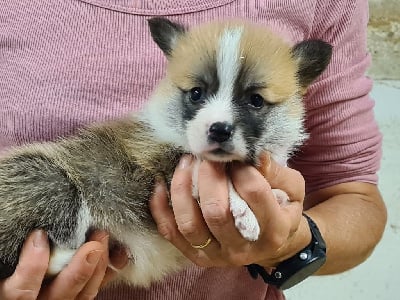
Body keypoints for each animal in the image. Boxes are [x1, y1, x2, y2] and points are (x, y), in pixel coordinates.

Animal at [0, 18, 332, 286]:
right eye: (196, 94)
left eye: (256, 100)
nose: (219, 129)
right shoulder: (157, 163)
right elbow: (203, 170)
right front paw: (244, 209)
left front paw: (273, 196)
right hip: (52, 183)